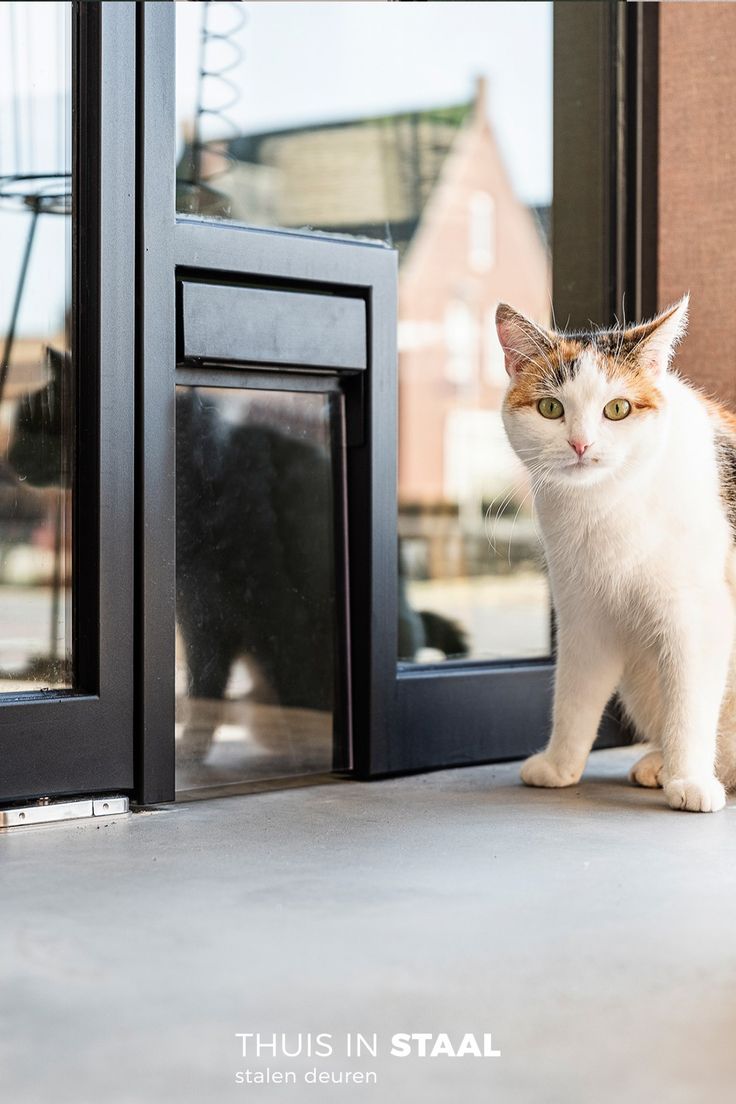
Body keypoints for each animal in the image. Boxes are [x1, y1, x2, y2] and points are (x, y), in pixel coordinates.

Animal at [494, 298, 736, 816]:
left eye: (618, 409)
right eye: (551, 408)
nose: (580, 445)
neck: (603, 505)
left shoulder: (697, 614)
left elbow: (689, 704)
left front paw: (691, 781)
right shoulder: (583, 615)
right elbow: (574, 697)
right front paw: (559, 767)